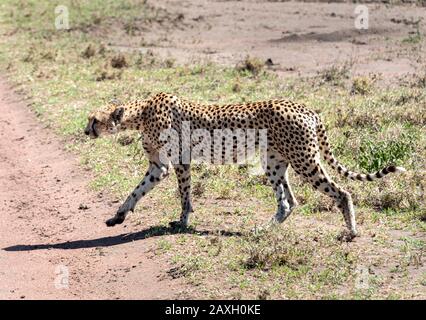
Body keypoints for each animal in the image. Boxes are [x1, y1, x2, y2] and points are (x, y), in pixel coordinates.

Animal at [84, 92, 406, 240]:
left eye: (95, 120)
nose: (85, 131)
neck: (140, 113)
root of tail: (306, 108)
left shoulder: (178, 162)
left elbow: (184, 194)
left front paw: (183, 221)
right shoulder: (158, 166)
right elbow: (135, 191)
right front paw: (118, 216)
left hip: (304, 160)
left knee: (341, 192)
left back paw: (351, 231)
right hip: (274, 162)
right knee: (288, 202)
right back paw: (262, 230)